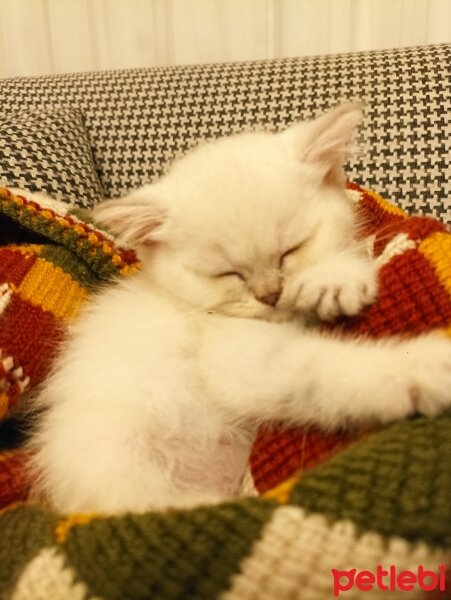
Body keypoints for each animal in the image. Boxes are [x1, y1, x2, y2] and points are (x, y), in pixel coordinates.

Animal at [29, 102, 451, 510]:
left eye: (291, 250)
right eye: (227, 273)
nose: (270, 295)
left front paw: (334, 277)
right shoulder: (238, 363)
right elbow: (325, 371)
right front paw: (425, 367)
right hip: (117, 460)